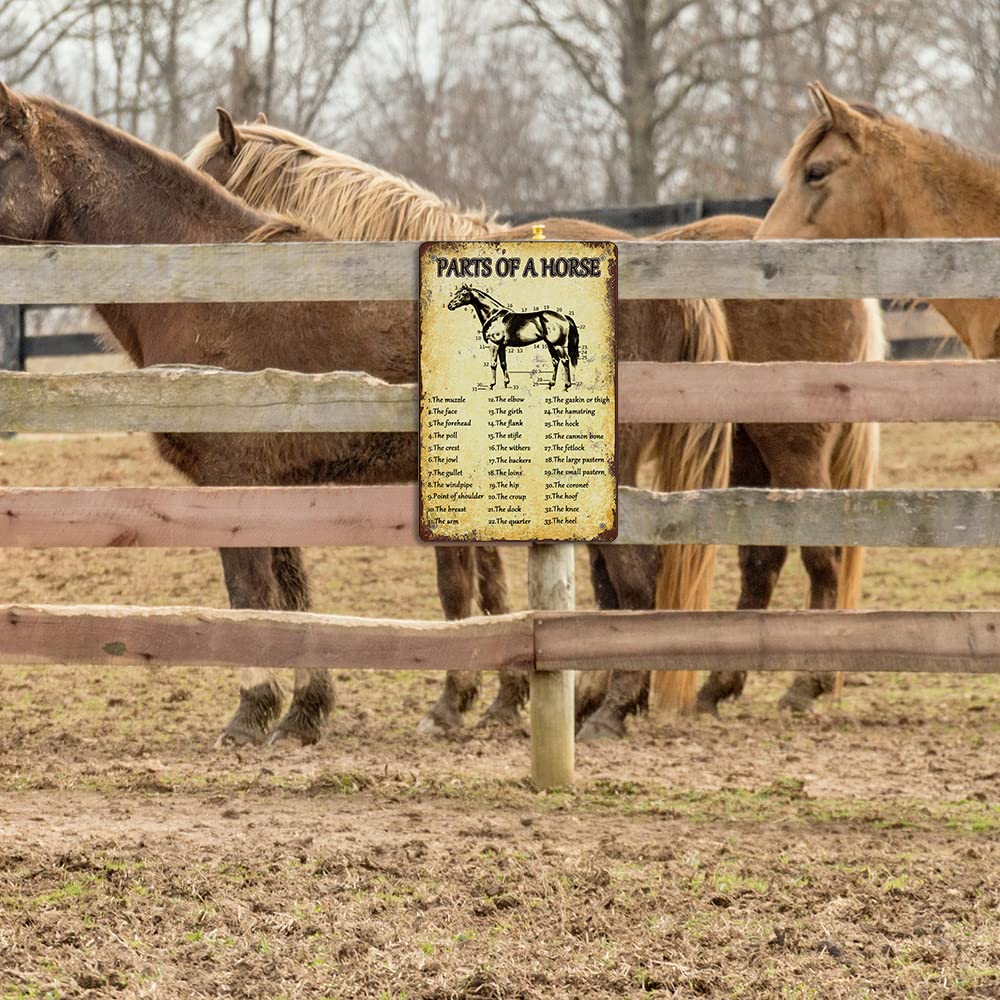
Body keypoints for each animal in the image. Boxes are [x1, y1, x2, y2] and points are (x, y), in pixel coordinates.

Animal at [446, 284, 580, 390]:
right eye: (456, 293)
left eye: (463, 294)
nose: (450, 305)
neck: (493, 315)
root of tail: (564, 316)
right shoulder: (502, 346)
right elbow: (503, 363)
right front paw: (506, 383)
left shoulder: (494, 343)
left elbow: (493, 363)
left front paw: (492, 384)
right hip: (550, 344)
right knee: (555, 361)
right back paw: (551, 384)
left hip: (558, 345)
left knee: (565, 360)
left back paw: (566, 385)